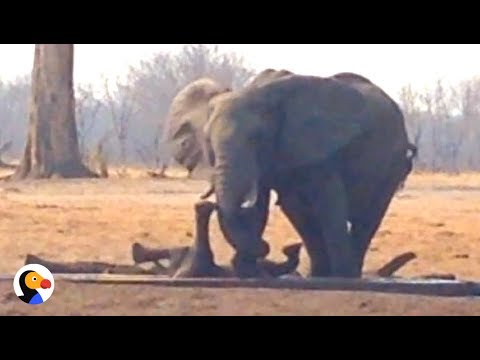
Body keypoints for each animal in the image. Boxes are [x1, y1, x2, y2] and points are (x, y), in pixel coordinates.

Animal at [202, 72, 416, 278]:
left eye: (257, 138)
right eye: (207, 141)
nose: (282, 247)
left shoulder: (320, 149)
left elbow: (329, 204)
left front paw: (340, 277)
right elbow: (272, 206)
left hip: (392, 166)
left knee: (367, 218)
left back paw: (350, 274)